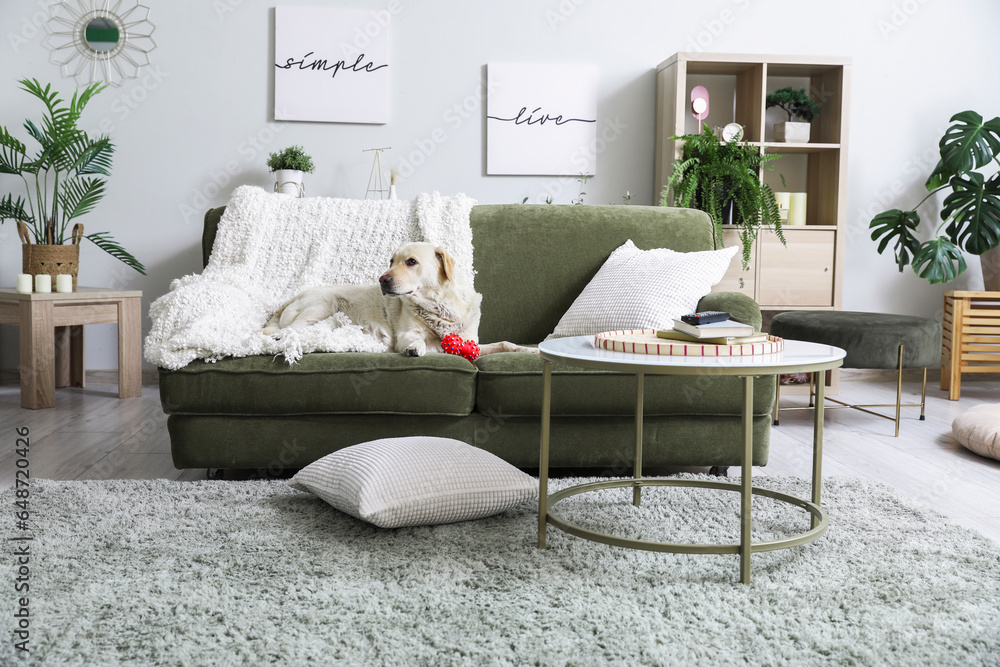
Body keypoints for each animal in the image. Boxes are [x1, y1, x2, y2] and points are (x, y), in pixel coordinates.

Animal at [262, 243, 528, 358]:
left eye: (411, 262)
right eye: (391, 261)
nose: (382, 279)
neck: (441, 306)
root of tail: (289, 300)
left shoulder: (472, 342)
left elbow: (503, 344)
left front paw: (525, 350)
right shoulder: (407, 334)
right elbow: (418, 339)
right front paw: (416, 347)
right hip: (322, 305)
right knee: (287, 332)